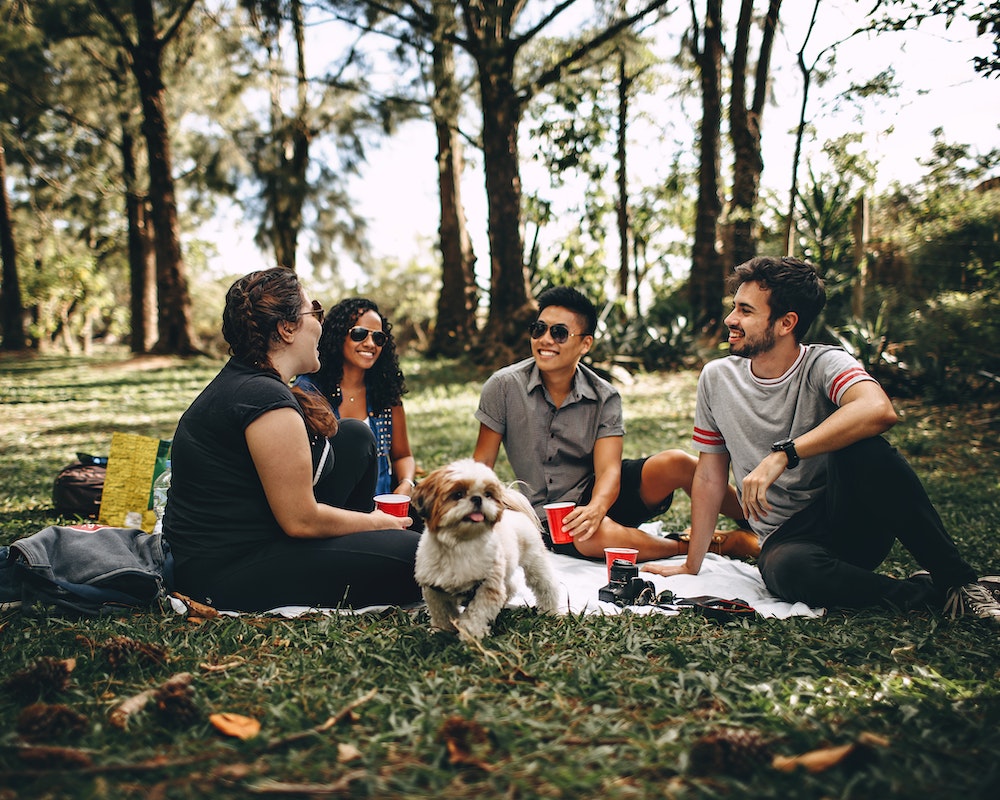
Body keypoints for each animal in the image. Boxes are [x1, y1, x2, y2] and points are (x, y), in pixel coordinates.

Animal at [410, 460, 560, 640]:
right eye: (458, 494)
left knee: (546, 585)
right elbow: (442, 613)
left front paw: (471, 634)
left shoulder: (487, 586)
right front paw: (441, 631)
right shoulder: (435, 589)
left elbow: (476, 613)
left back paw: (549, 611)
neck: (460, 544)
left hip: (534, 562)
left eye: (487, 494)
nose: (477, 498)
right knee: (510, 587)